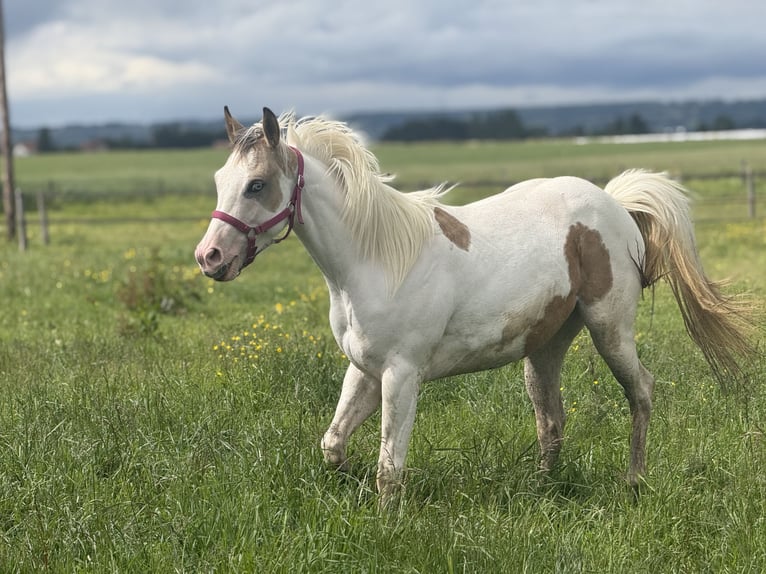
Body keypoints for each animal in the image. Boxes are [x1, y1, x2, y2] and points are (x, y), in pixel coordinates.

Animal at [195, 107, 754, 501]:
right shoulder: (365, 369)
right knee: (551, 419)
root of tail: (614, 203)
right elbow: (333, 444)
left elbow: (389, 467)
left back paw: (634, 481)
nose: (209, 257)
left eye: (257, 185)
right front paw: (346, 481)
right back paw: (542, 491)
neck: (374, 260)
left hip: (610, 330)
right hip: (544, 347)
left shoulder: (402, 374)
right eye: (220, 181)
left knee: (641, 391)